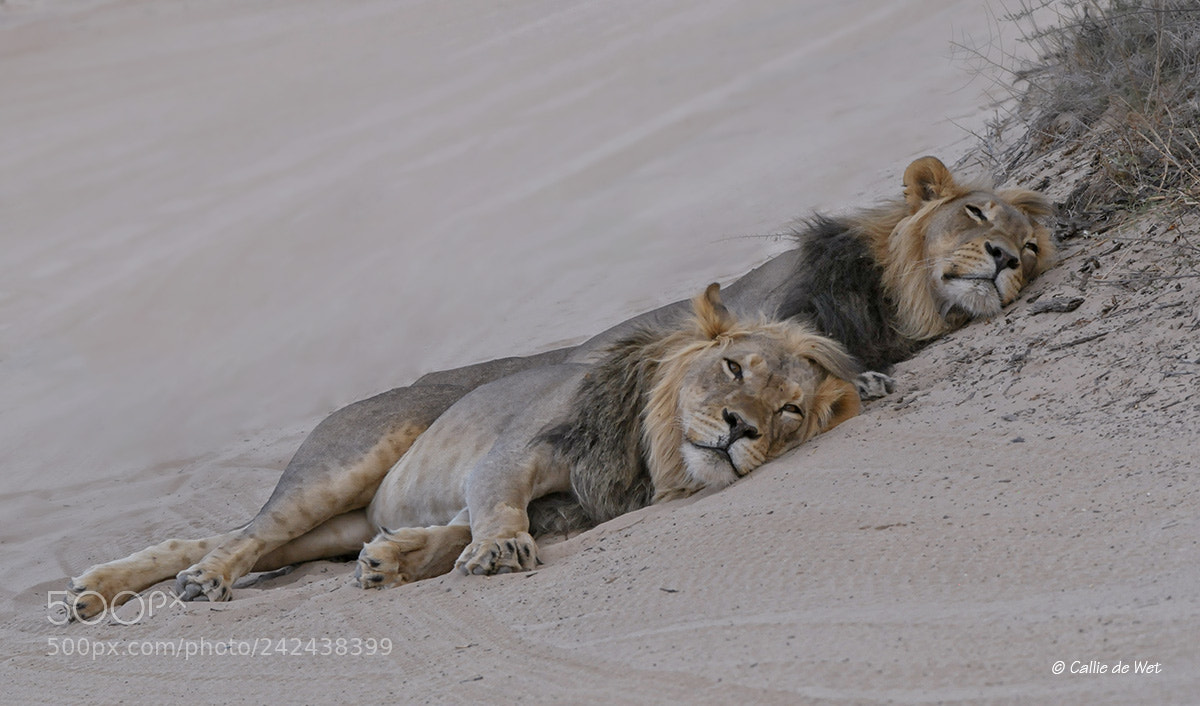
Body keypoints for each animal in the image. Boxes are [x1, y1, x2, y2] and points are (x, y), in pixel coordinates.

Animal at [67, 156, 1053, 618]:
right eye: (975, 212)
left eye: (1035, 243)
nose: (1005, 257)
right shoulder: (512, 454)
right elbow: (494, 510)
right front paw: (482, 550)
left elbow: (464, 530)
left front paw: (409, 558)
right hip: (337, 469)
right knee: (240, 537)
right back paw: (186, 583)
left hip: (334, 519)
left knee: (235, 539)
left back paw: (109, 588)